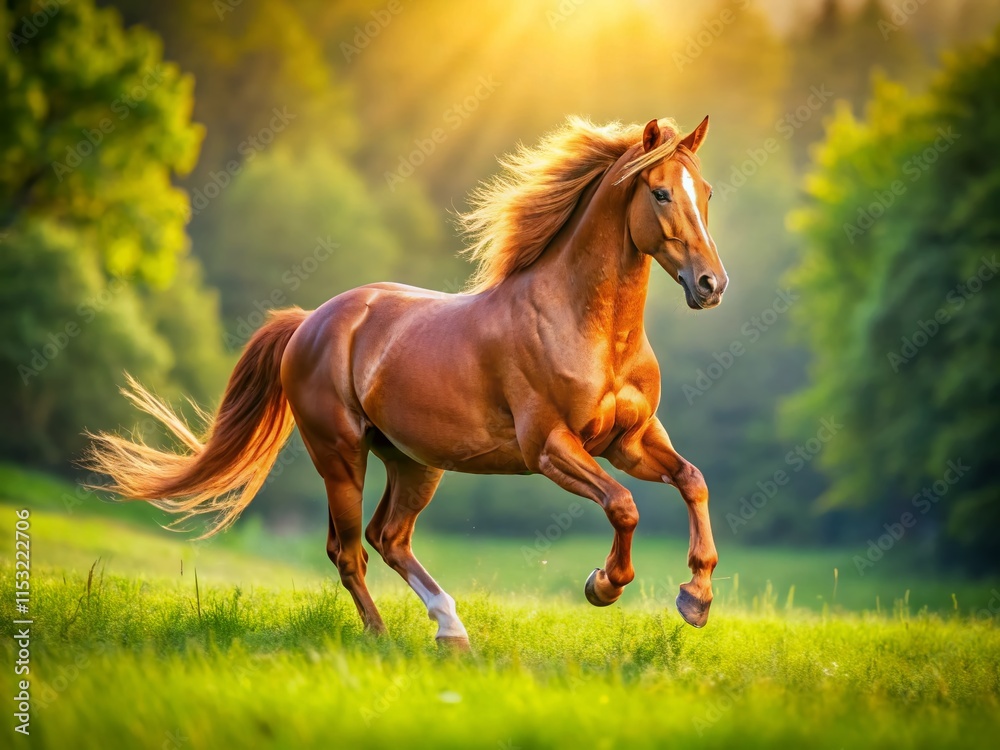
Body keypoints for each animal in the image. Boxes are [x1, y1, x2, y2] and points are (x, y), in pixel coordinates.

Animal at [86, 114, 728, 649]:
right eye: (661, 191)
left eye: (707, 193)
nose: (710, 285)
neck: (591, 331)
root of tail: (309, 322)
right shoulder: (549, 446)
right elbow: (623, 506)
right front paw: (604, 585)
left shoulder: (629, 440)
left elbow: (693, 481)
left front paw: (695, 599)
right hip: (340, 454)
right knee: (348, 551)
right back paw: (383, 636)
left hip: (415, 461)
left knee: (387, 537)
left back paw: (451, 630)